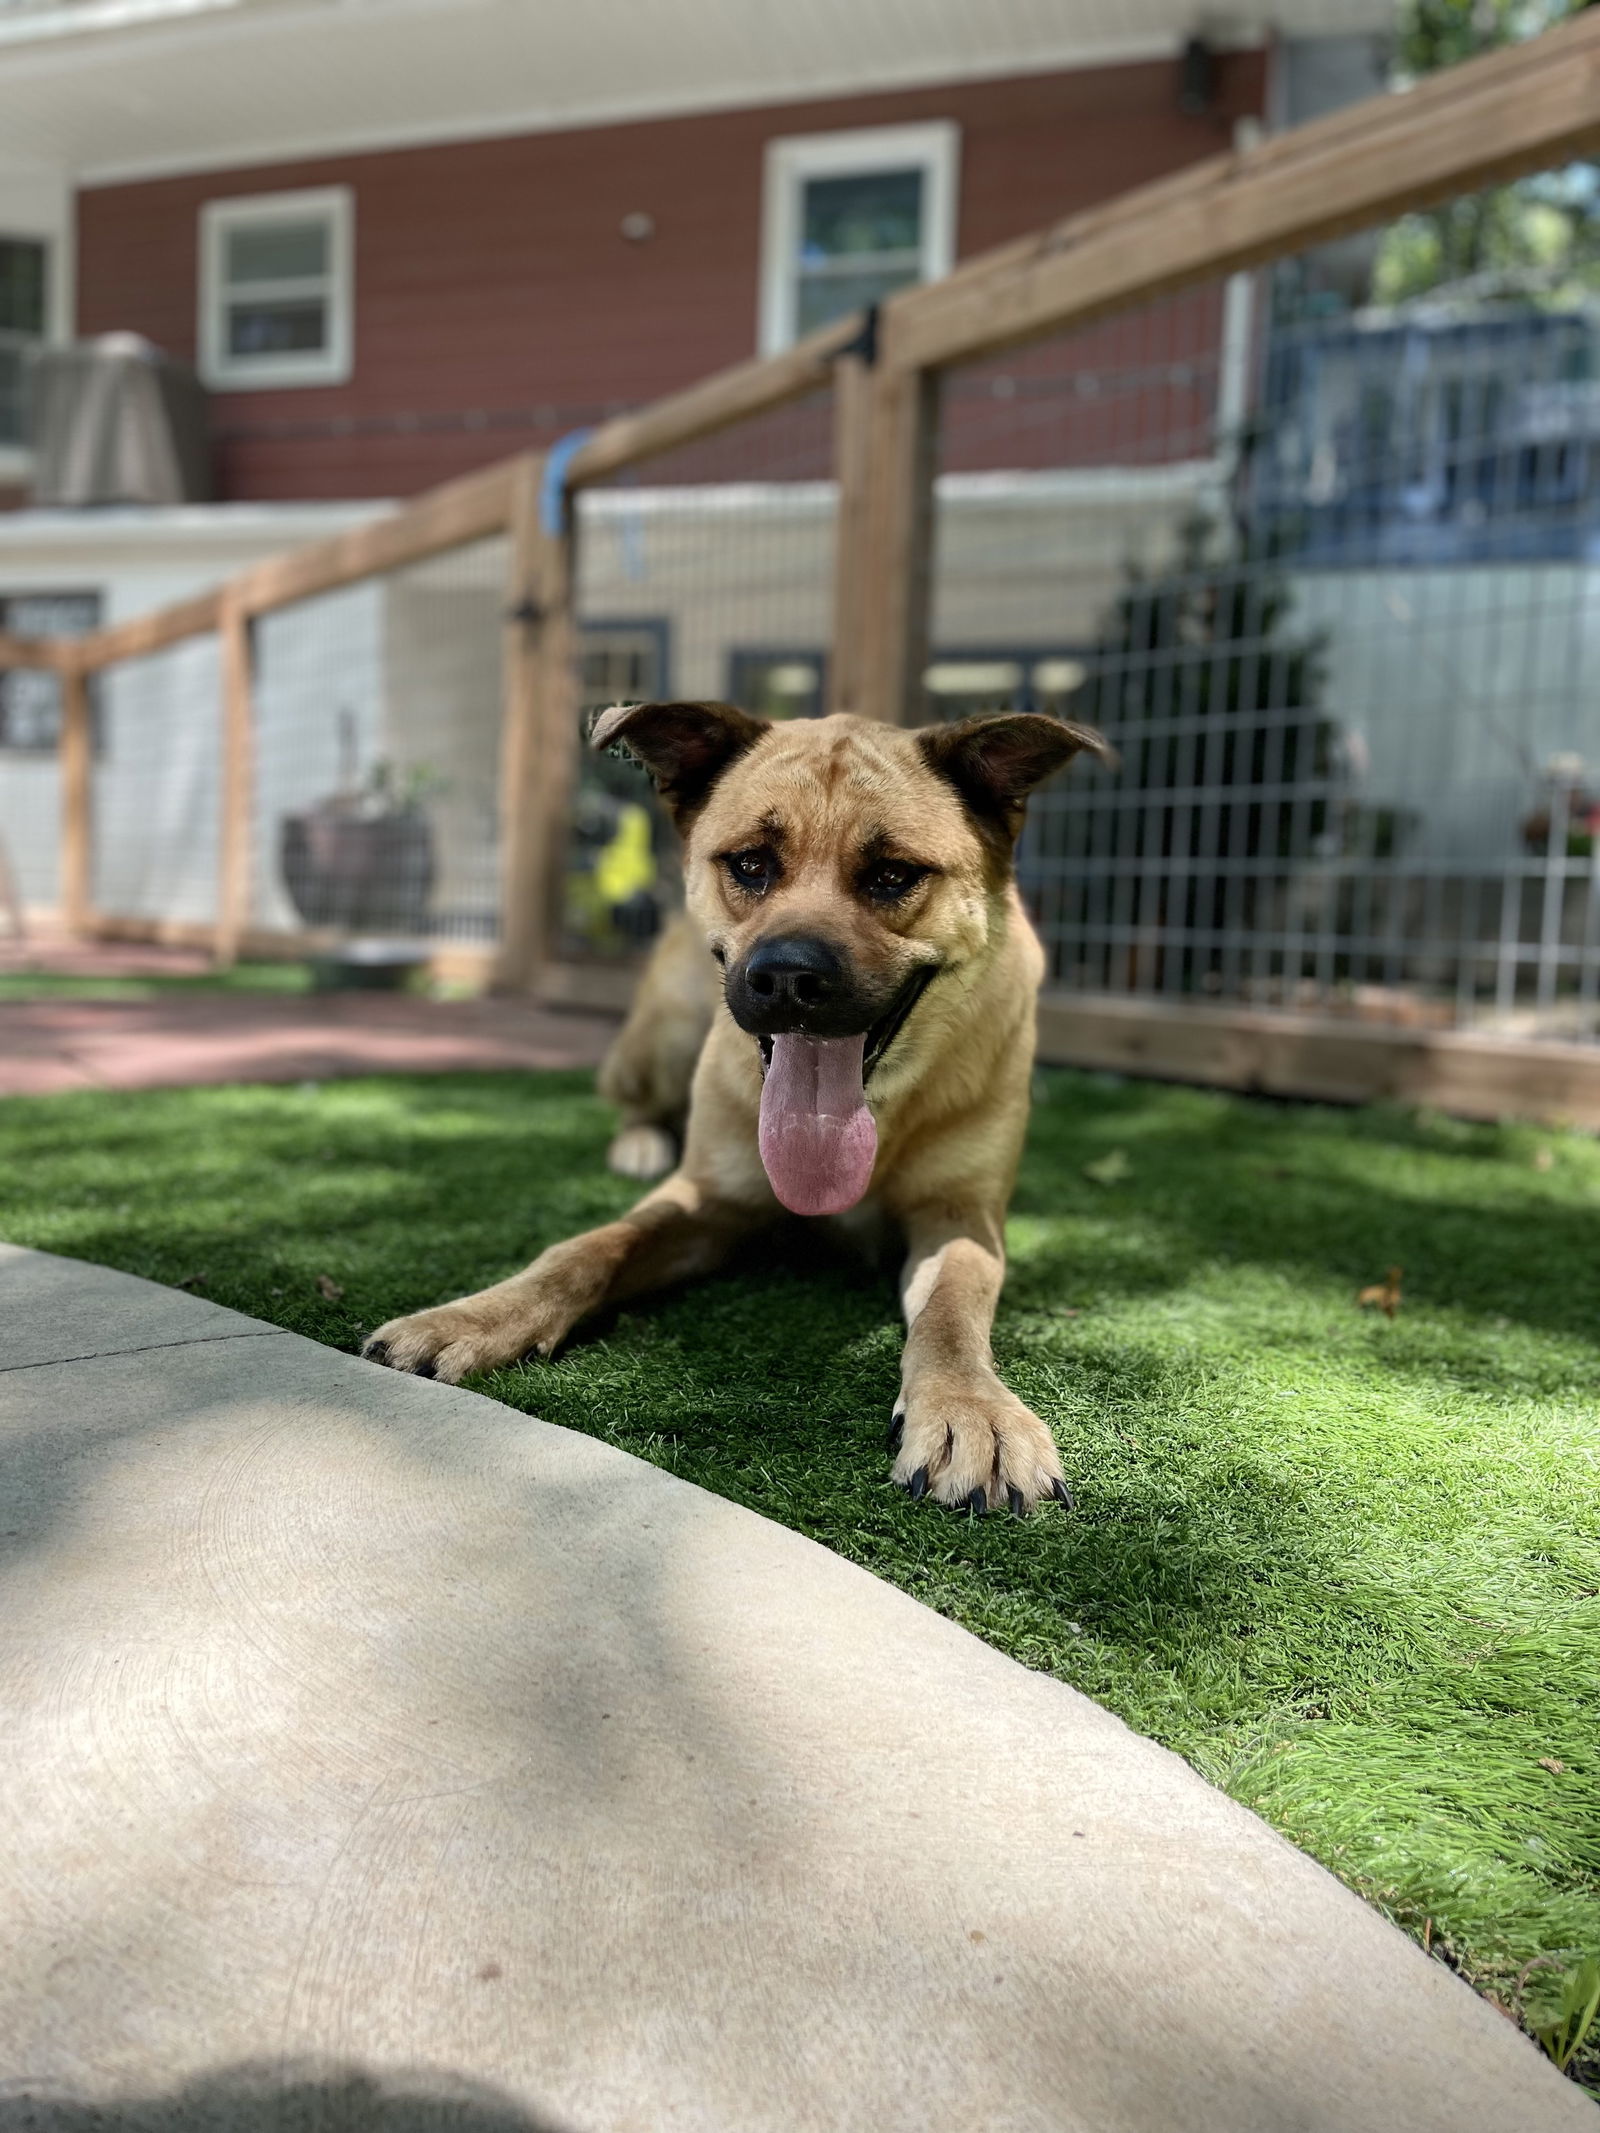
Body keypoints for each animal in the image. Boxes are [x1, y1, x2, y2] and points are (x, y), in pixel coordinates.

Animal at [369, 708, 1109, 1510]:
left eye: (892, 874)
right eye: (751, 864)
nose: (786, 977)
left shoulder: (960, 1217)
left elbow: (951, 1308)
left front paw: (971, 1410)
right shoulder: (707, 1197)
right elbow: (589, 1248)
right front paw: (473, 1316)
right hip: (663, 1034)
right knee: (636, 1104)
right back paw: (638, 1144)